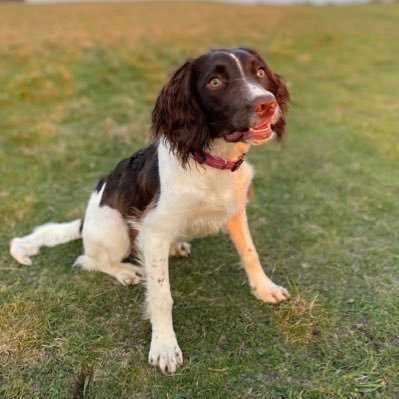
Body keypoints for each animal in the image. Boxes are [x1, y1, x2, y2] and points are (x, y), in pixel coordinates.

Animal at [9, 47, 290, 376]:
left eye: (259, 72)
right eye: (216, 82)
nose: (267, 104)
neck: (212, 162)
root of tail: (83, 222)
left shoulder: (235, 211)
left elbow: (250, 252)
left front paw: (265, 288)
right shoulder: (153, 231)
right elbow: (161, 296)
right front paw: (165, 347)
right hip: (115, 227)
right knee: (90, 259)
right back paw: (126, 272)